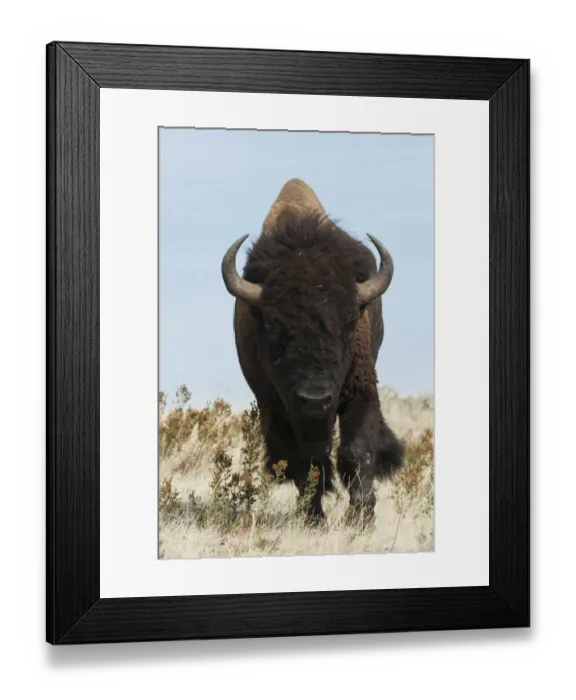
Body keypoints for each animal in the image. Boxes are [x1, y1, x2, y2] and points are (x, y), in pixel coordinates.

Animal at [220, 178, 405, 527]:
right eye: (271, 325)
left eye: (349, 322)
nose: (315, 399)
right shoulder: (279, 407)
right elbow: (305, 463)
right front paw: (314, 517)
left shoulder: (361, 391)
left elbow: (357, 451)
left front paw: (361, 518)